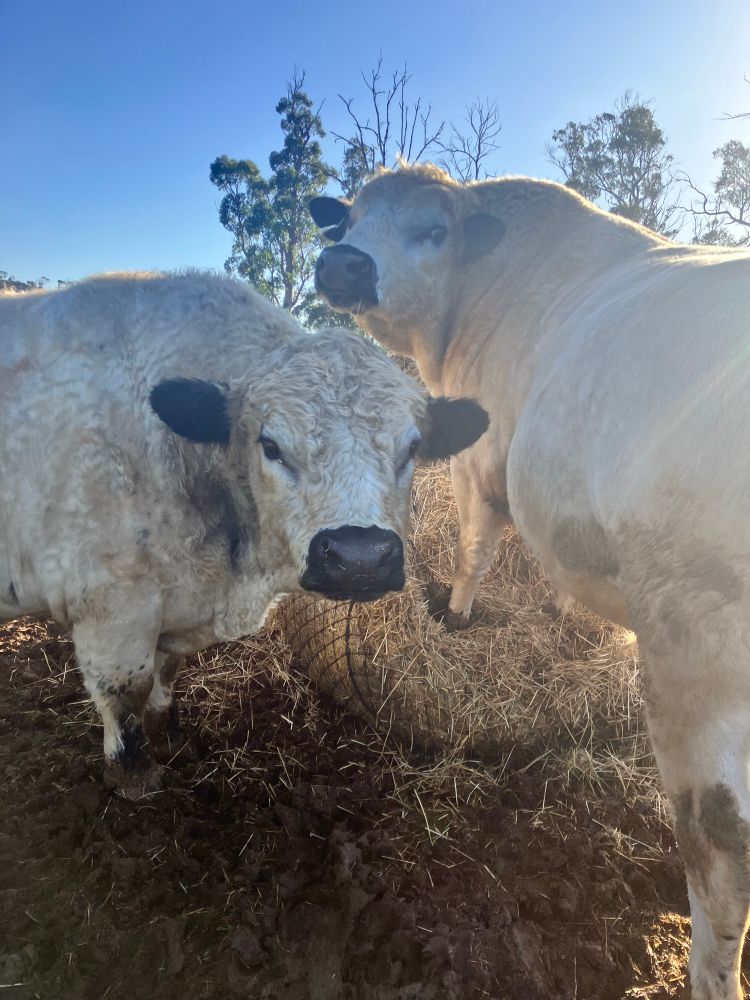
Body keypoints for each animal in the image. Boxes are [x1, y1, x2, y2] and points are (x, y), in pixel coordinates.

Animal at [0, 271, 487, 795]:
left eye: (412, 447)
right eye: (270, 445)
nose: (360, 557)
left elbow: (165, 676)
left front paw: (169, 736)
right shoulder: (112, 605)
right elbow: (126, 691)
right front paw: (133, 772)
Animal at [311, 163, 750, 1000]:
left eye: (431, 229)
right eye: (346, 219)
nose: (342, 263)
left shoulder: (479, 464)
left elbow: (476, 550)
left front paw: (457, 615)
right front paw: (560, 612)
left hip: (697, 652)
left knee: (720, 846)